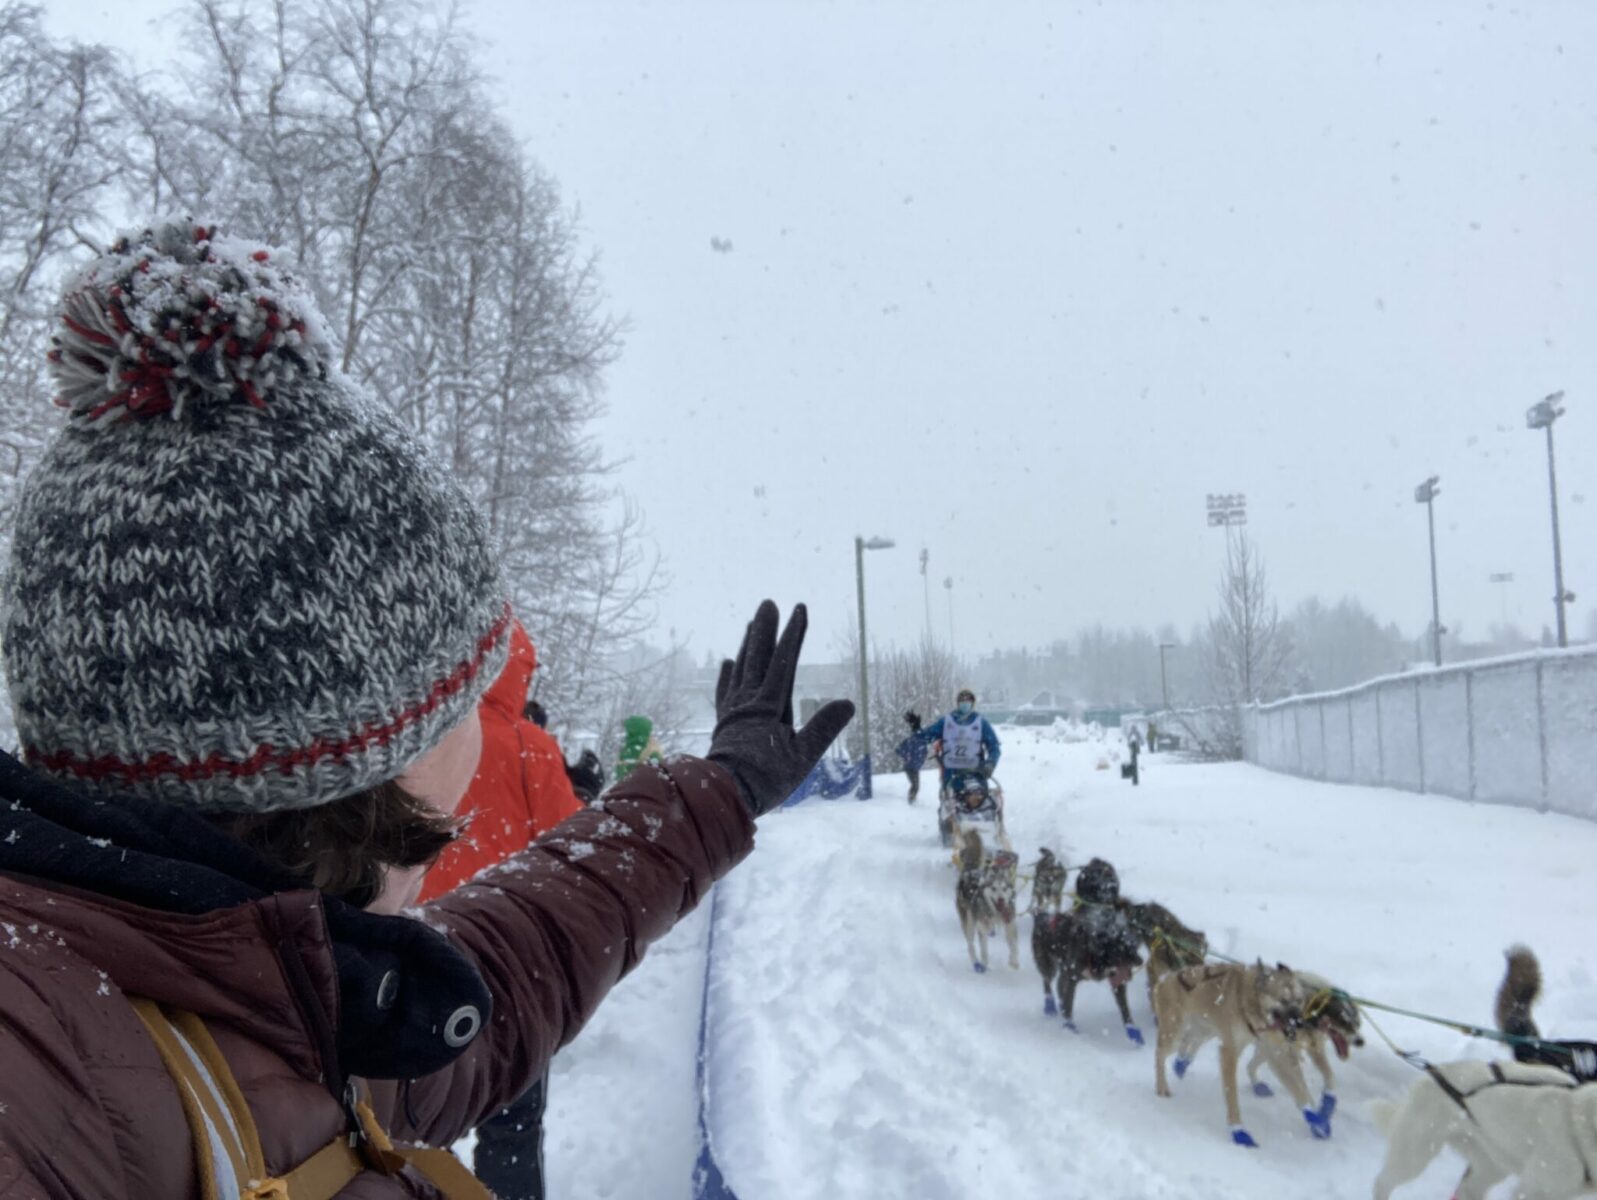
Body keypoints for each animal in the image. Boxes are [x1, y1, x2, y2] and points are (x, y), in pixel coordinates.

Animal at [951, 837, 1015, 977]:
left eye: (1004, 889)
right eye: (994, 888)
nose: (1001, 899)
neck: (995, 912)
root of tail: (969, 871)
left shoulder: (1010, 921)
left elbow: (1012, 942)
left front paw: (1014, 961)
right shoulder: (981, 927)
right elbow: (984, 950)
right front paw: (984, 963)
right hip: (968, 922)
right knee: (970, 944)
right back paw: (977, 964)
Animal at [1156, 958, 1328, 1144]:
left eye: (1299, 1000)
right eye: (1283, 1000)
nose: (1300, 1024)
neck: (1249, 1001)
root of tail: (1165, 979)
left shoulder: (1275, 1051)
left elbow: (1299, 1091)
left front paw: (1316, 1119)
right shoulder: (1229, 1051)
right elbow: (1231, 1095)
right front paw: (1238, 1130)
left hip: (1206, 1030)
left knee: (1189, 1040)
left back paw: (1181, 1064)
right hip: (1175, 1033)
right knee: (1160, 1053)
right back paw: (1162, 1086)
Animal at [1367, 1060, 1590, 1200]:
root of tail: (1430, 1075)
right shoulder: (1533, 1190)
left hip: (1492, 1162)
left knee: (1467, 1190)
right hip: (1414, 1156)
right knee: (1382, 1182)